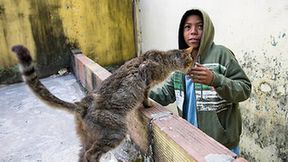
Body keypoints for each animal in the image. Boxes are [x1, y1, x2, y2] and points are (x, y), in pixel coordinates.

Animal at [12, 44, 195, 162]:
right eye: (190, 61)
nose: (192, 68)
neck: (164, 60)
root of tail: (82, 104)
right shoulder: (146, 76)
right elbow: (145, 95)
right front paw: (148, 104)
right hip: (115, 132)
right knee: (91, 154)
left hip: (88, 138)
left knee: (83, 155)